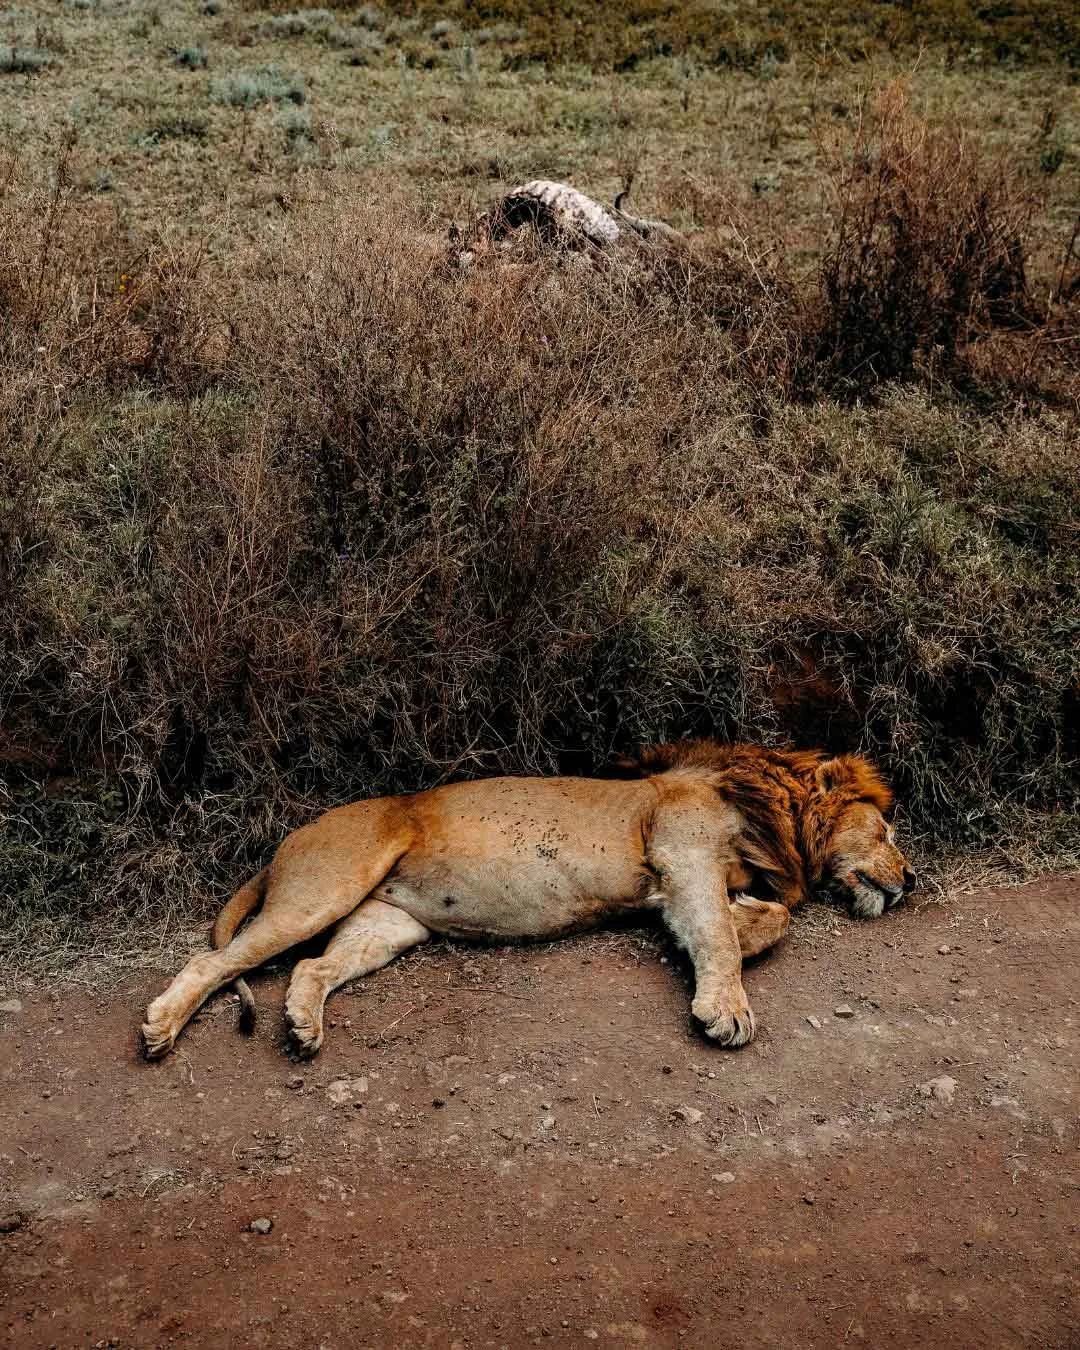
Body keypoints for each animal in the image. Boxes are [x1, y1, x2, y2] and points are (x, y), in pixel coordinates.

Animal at [142, 740, 915, 1060]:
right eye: (884, 829)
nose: (910, 881)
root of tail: (286, 840)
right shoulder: (684, 854)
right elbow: (724, 938)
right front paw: (726, 1009)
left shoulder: (676, 883)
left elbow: (767, 918)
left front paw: (748, 918)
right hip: (325, 887)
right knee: (214, 963)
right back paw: (160, 1028)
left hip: (389, 925)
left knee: (311, 968)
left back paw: (304, 1027)